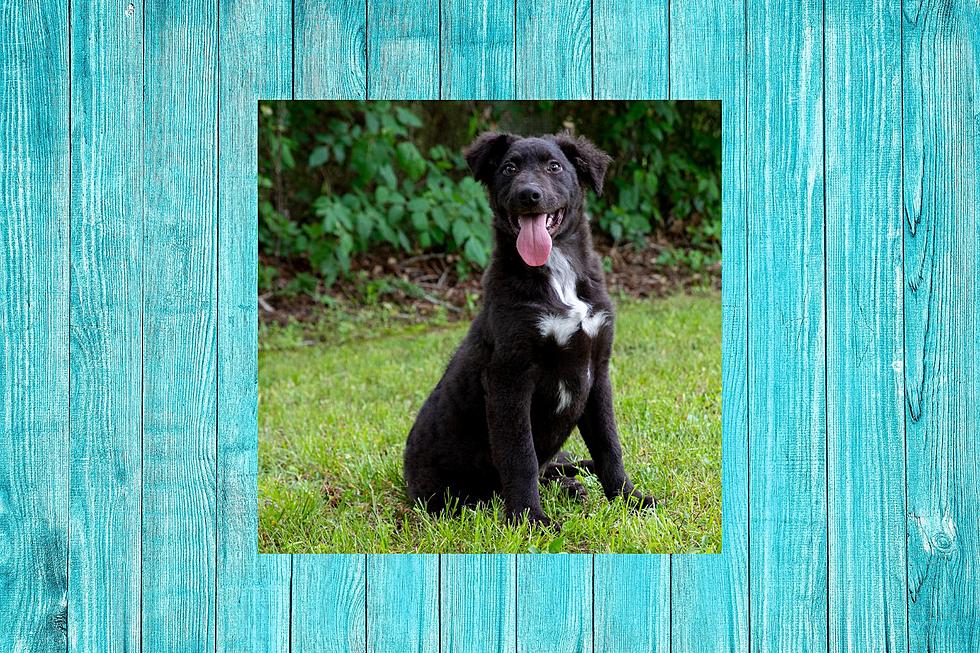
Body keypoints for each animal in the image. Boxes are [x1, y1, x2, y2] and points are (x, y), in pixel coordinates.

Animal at [402, 131, 656, 524]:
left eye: (554, 167)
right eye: (509, 168)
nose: (528, 194)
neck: (558, 272)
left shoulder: (598, 369)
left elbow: (608, 445)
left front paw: (629, 498)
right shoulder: (510, 377)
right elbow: (520, 456)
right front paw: (530, 519)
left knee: (555, 465)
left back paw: (574, 480)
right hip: (447, 495)